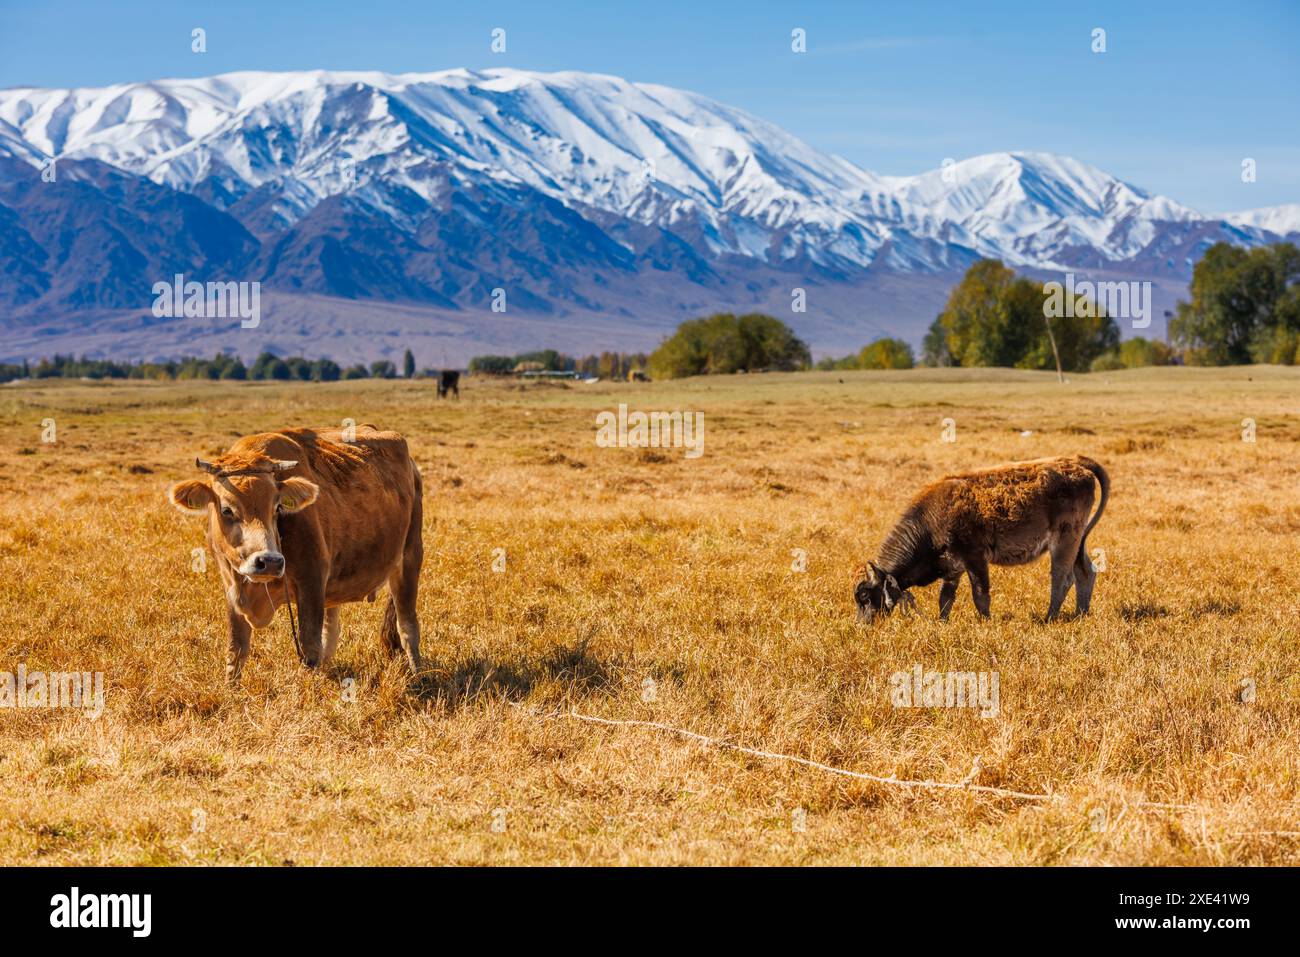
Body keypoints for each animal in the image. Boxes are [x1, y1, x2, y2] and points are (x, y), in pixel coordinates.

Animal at [170, 423, 423, 681]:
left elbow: (309, 647)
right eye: (226, 509)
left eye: (277, 507)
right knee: (331, 629)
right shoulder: (232, 586)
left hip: (410, 558)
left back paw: (418, 675)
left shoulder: (311, 582)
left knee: (407, 626)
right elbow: (236, 649)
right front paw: (231, 686)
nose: (269, 562)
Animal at [852, 455, 1107, 624]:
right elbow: (946, 598)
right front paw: (942, 623)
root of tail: (1077, 464)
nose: (862, 625)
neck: (932, 519)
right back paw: (1080, 613)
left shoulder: (975, 558)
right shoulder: (952, 566)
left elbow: (980, 594)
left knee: (1062, 578)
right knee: (1085, 571)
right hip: (1078, 541)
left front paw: (986, 622)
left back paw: (1049, 618)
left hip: (1064, 541)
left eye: (865, 596)